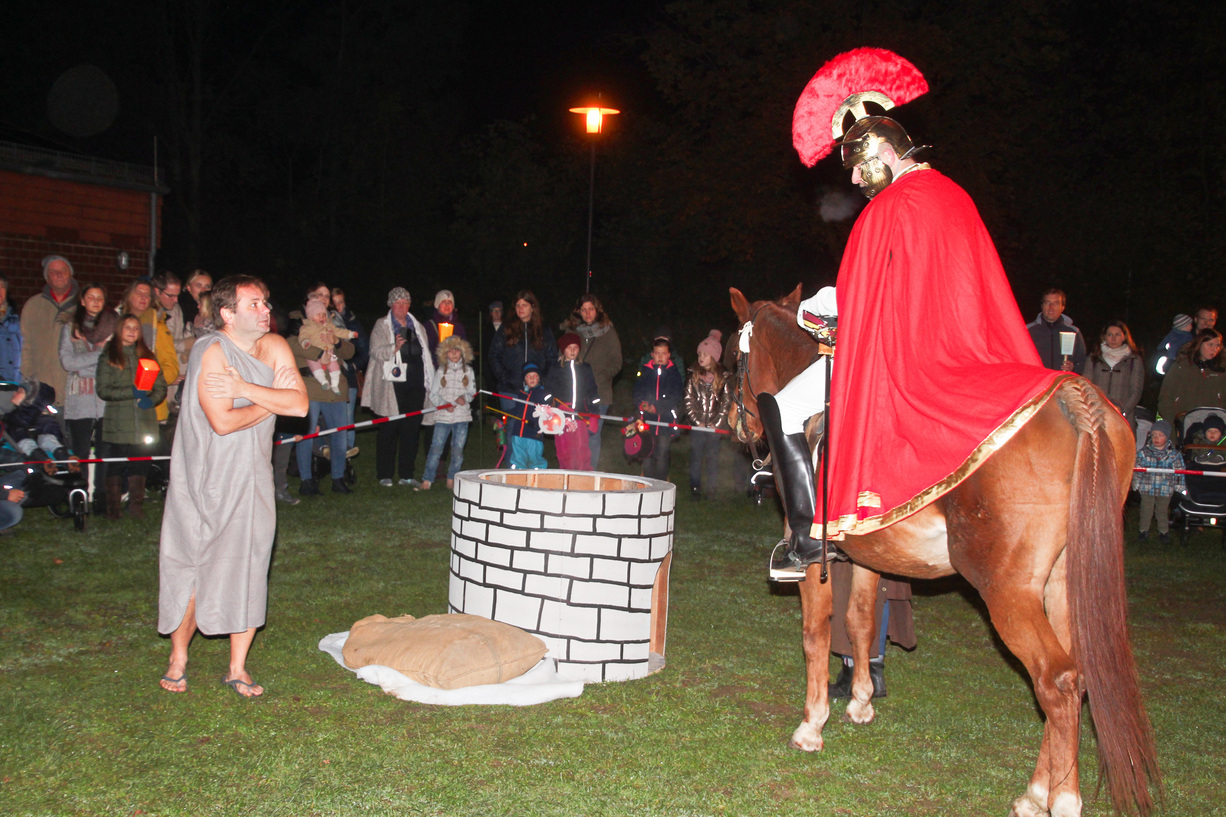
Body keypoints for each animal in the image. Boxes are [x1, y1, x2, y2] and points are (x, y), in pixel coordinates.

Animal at [729, 285, 1159, 817]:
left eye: (735, 360)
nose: (735, 424)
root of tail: (1072, 396)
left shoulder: (813, 560)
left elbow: (815, 635)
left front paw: (811, 725)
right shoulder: (868, 554)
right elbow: (862, 623)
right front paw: (861, 702)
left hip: (1008, 591)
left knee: (1055, 681)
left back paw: (1059, 799)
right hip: (1063, 584)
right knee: (1075, 678)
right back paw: (1039, 791)